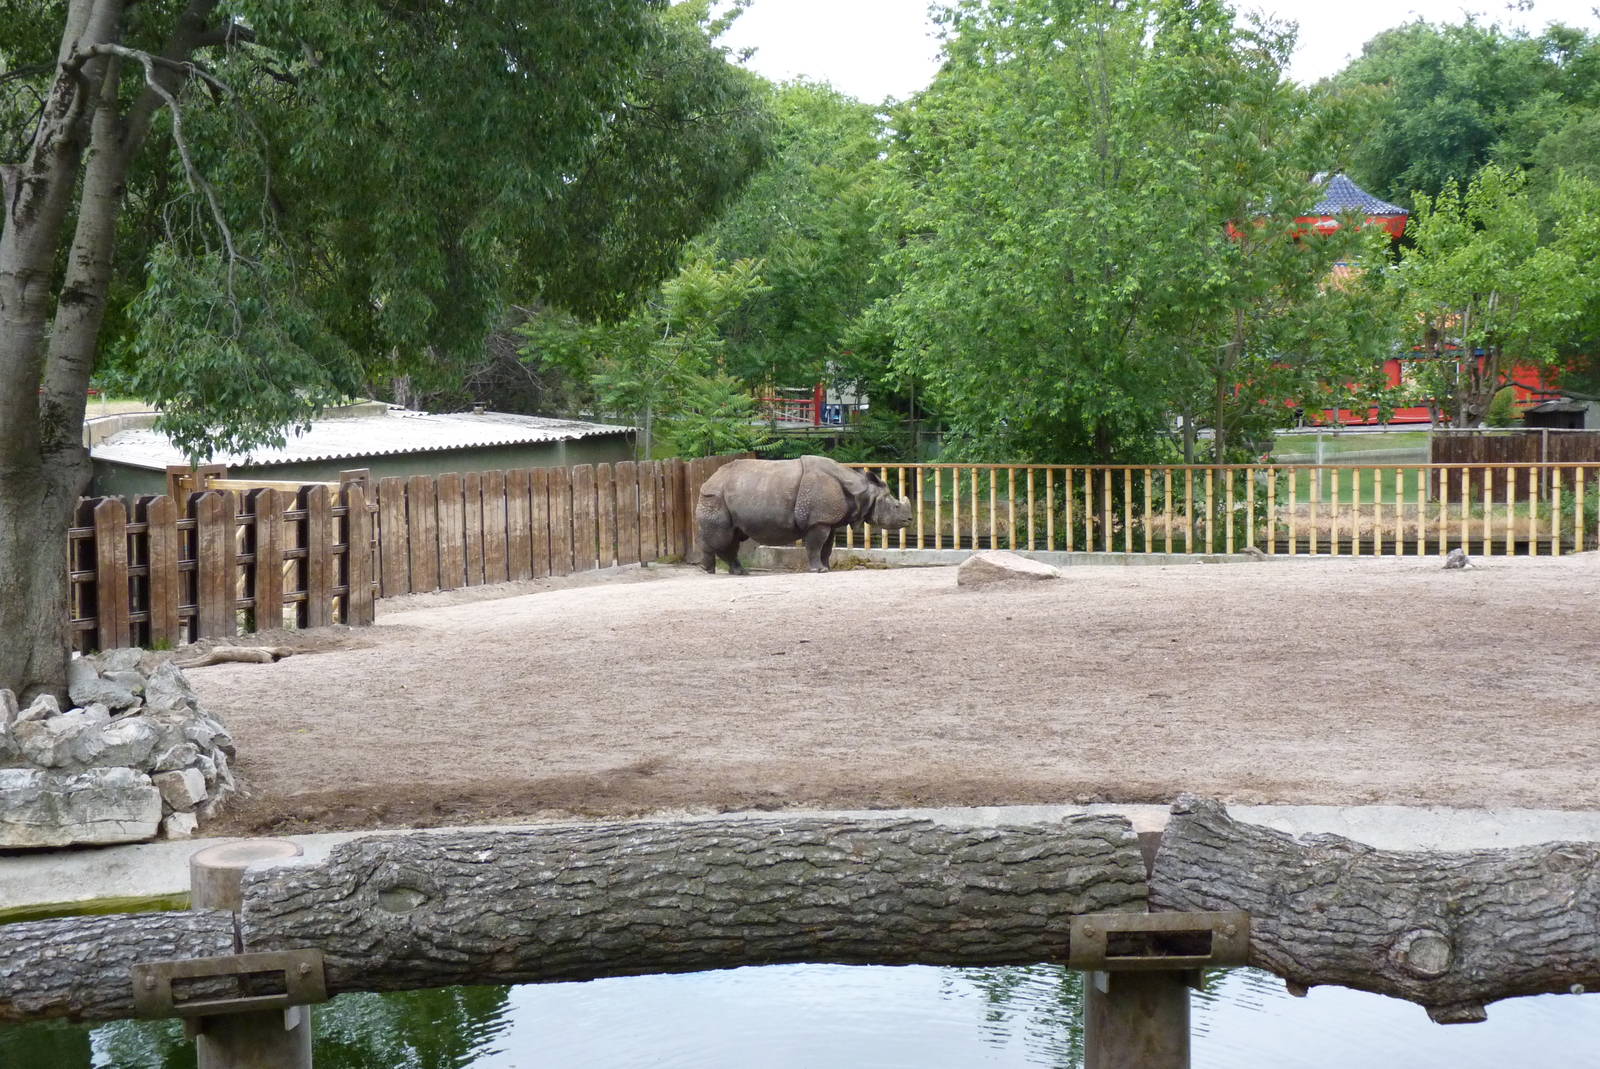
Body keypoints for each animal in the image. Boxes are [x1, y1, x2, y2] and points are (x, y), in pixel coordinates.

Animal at [696, 455, 914, 574]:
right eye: (895, 507)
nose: (910, 519)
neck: (862, 492)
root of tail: (709, 478)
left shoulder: (828, 521)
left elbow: (827, 548)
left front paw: (827, 569)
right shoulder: (817, 521)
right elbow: (815, 546)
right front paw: (819, 570)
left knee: (733, 536)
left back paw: (738, 572)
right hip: (715, 497)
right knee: (723, 537)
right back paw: (708, 570)